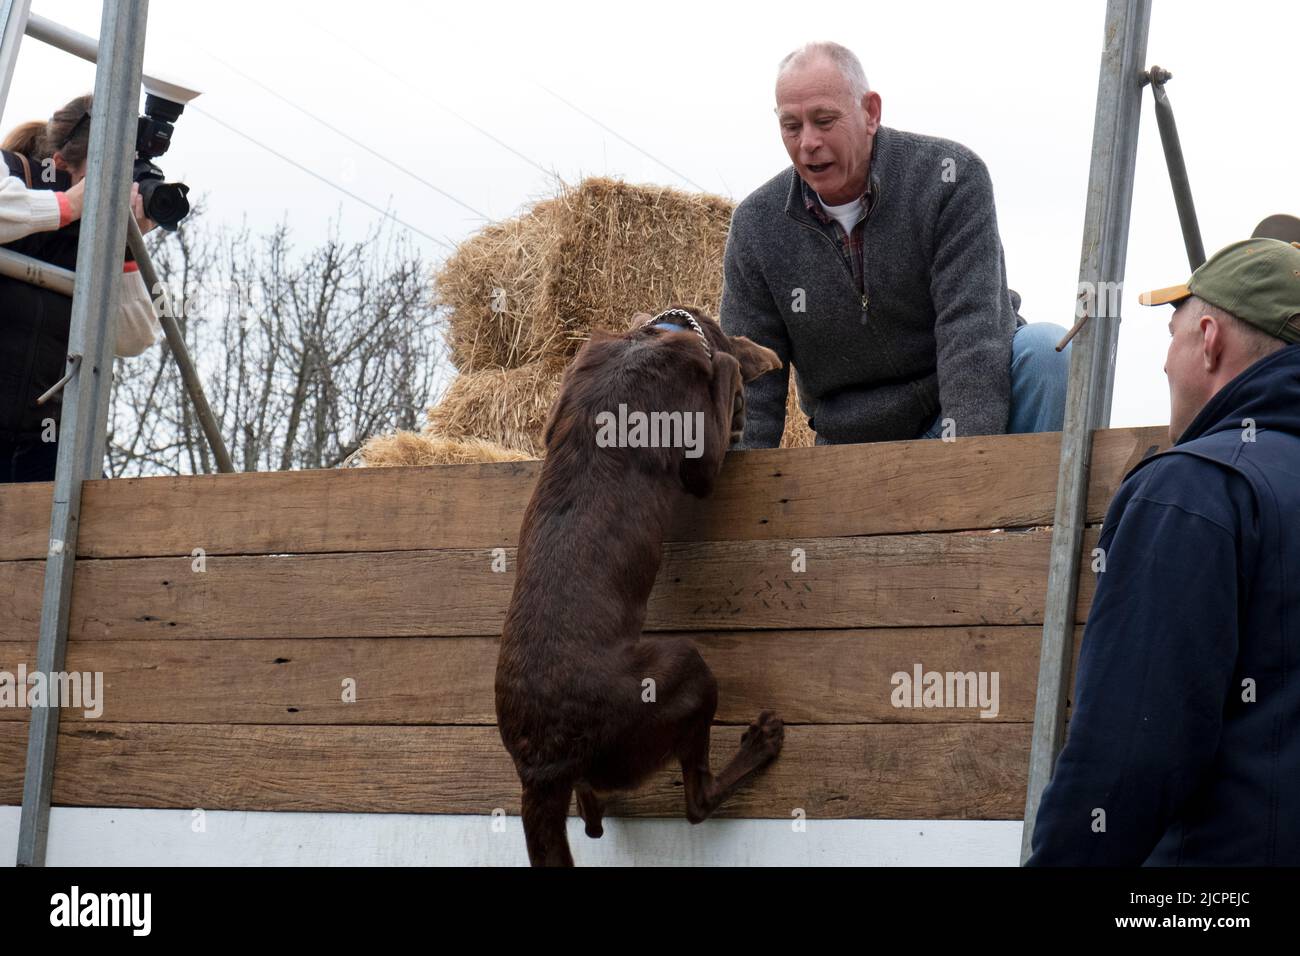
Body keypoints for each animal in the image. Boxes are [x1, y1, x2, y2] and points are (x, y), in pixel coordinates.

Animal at [493, 304, 780, 868]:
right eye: (742, 407)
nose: (742, 428)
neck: (650, 337)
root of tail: (542, 767)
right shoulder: (701, 464)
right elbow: (724, 370)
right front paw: (726, 365)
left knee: (593, 818)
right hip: (683, 669)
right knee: (697, 801)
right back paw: (760, 745)